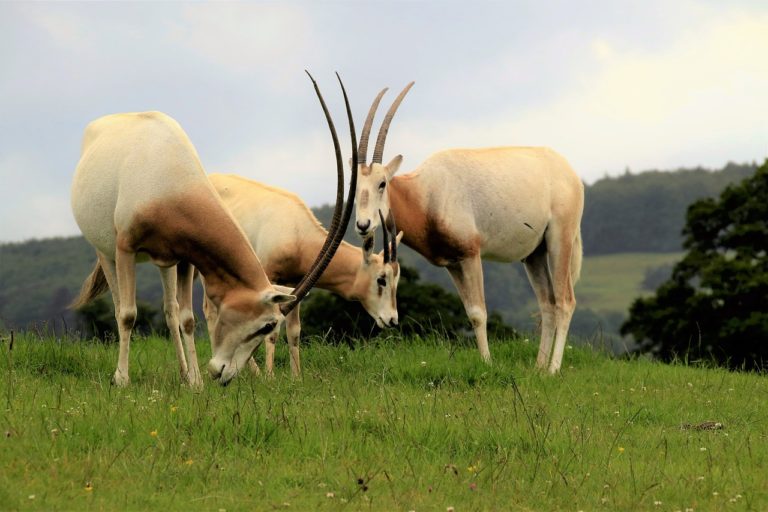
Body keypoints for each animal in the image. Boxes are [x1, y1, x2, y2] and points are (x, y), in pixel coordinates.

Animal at [69, 71, 356, 384]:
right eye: (267, 325)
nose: (224, 374)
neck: (170, 182)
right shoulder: (127, 247)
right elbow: (128, 314)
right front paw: (122, 379)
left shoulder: (184, 259)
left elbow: (187, 318)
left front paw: (195, 382)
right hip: (107, 252)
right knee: (120, 304)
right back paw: (123, 373)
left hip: (164, 262)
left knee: (170, 311)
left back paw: (183, 372)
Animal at [202, 172, 402, 376]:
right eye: (381, 279)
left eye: (396, 280)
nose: (392, 320)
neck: (297, 232)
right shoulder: (269, 280)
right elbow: (272, 331)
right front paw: (269, 376)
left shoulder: (293, 285)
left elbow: (294, 331)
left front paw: (296, 376)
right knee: (210, 311)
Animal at [352, 83, 584, 372]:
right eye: (355, 186)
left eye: (382, 183)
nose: (363, 225)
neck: (426, 193)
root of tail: (570, 172)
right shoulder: (453, 263)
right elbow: (470, 311)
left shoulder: (471, 255)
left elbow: (478, 313)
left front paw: (487, 364)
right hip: (534, 254)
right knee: (548, 303)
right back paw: (538, 369)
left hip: (559, 239)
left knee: (565, 302)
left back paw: (552, 370)